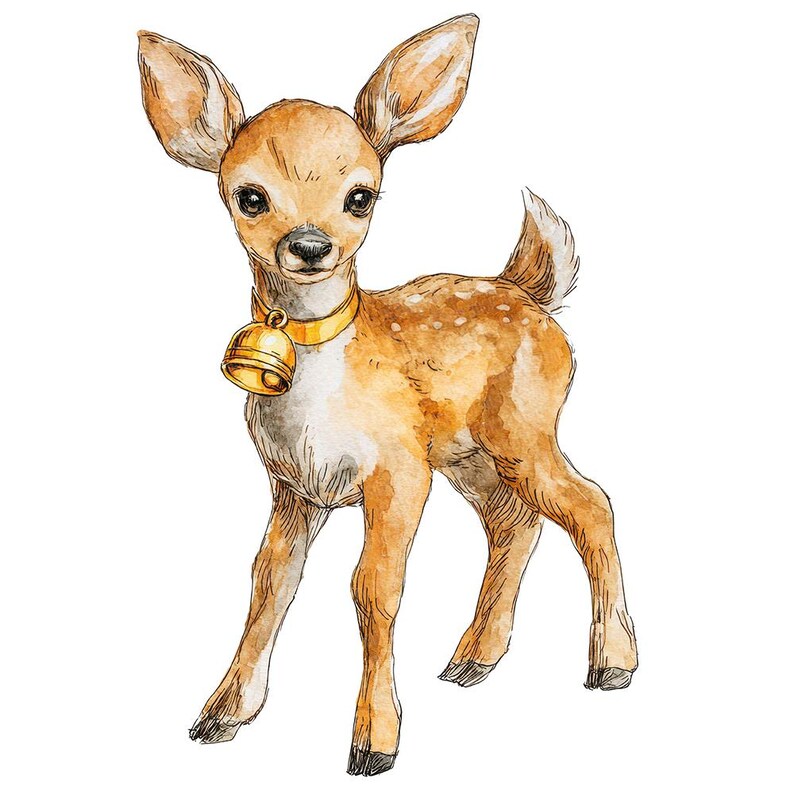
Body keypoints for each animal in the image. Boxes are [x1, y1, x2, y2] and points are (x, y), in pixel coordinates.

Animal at [137, 13, 638, 776]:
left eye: (360, 195)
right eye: (250, 195)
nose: (309, 244)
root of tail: (531, 291)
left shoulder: (397, 468)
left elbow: (372, 587)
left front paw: (374, 741)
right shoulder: (294, 486)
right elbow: (267, 584)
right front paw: (221, 714)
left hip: (522, 427)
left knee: (589, 503)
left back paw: (610, 663)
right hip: (464, 453)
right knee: (514, 520)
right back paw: (473, 660)